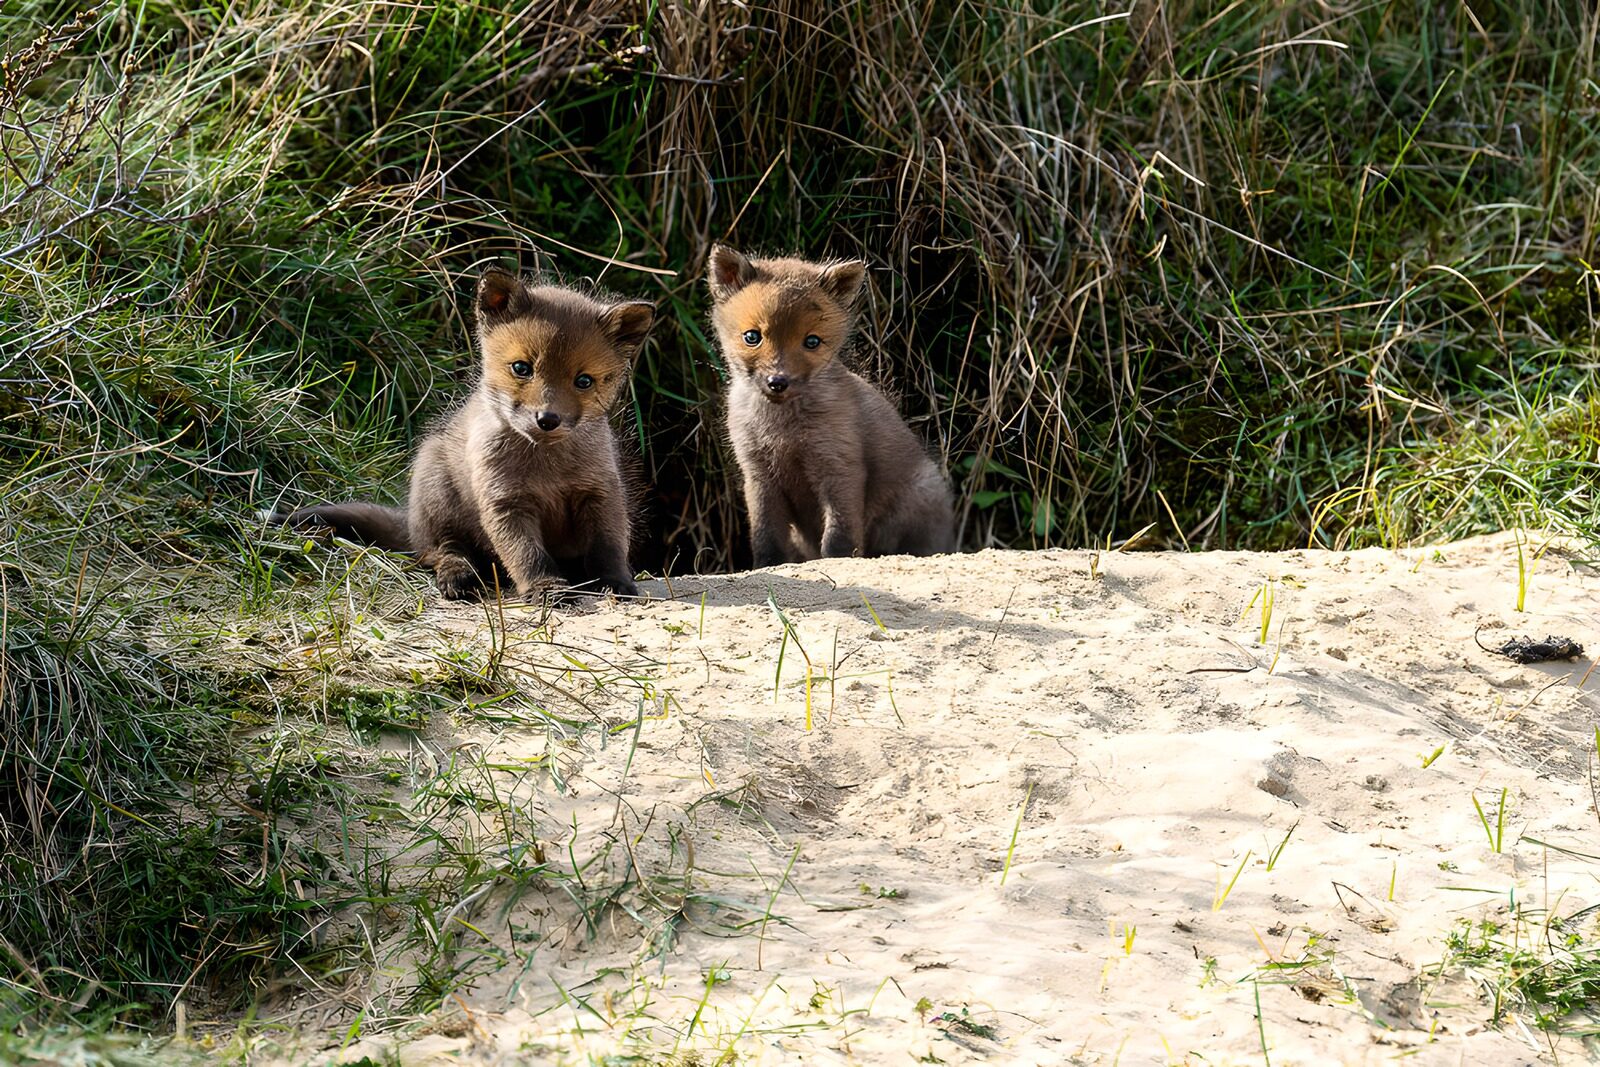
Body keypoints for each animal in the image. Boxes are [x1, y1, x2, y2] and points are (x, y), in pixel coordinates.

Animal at [283, 268, 654, 601]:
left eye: (584, 381)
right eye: (522, 368)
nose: (547, 419)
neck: (548, 468)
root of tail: (410, 521)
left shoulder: (601, 494)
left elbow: (608, 547)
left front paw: (616, 583)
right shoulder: (504, 502)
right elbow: (526, 554)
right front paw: (545, 588)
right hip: (437, 495)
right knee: (438, 551)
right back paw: (458, 576)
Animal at [706, 245, 956, 566]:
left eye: (812, 342)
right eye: (752, 337)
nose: (778, 381)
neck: (782, 431)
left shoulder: (839, 465)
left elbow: (839, 534)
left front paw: (837, 561)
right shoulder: (757, 472)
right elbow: (765, 534)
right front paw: (767, 564)